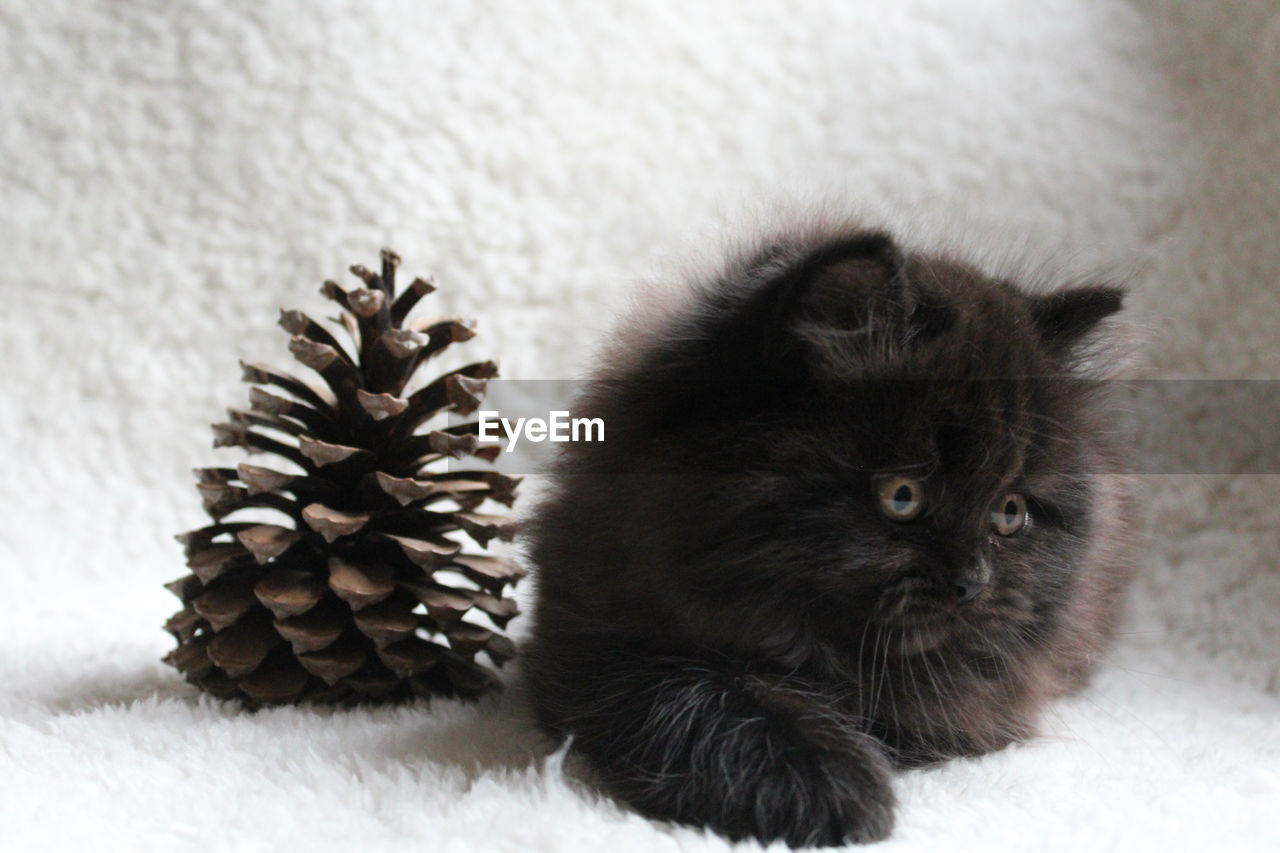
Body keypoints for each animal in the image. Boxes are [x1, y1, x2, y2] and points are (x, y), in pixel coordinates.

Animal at [517, 220, 1131, 845]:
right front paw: (829, 784)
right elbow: (700, 694)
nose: (972, 583)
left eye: (1010, 513)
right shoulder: (589, 645)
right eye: (902, 496)